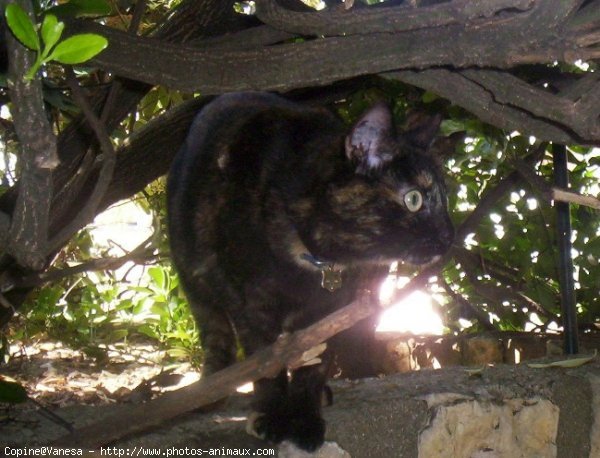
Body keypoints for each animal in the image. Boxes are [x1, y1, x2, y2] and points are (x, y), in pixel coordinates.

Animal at [166, 93, 452, 450]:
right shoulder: (252, 307)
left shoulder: (334, 311)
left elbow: (314, 366)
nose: (449, 237)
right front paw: (272, 416)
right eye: (413, 199)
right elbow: (266, 366)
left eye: (445, 199)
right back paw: (212, 389)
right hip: (196, 282)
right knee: (216, 336)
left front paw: (304, 419)